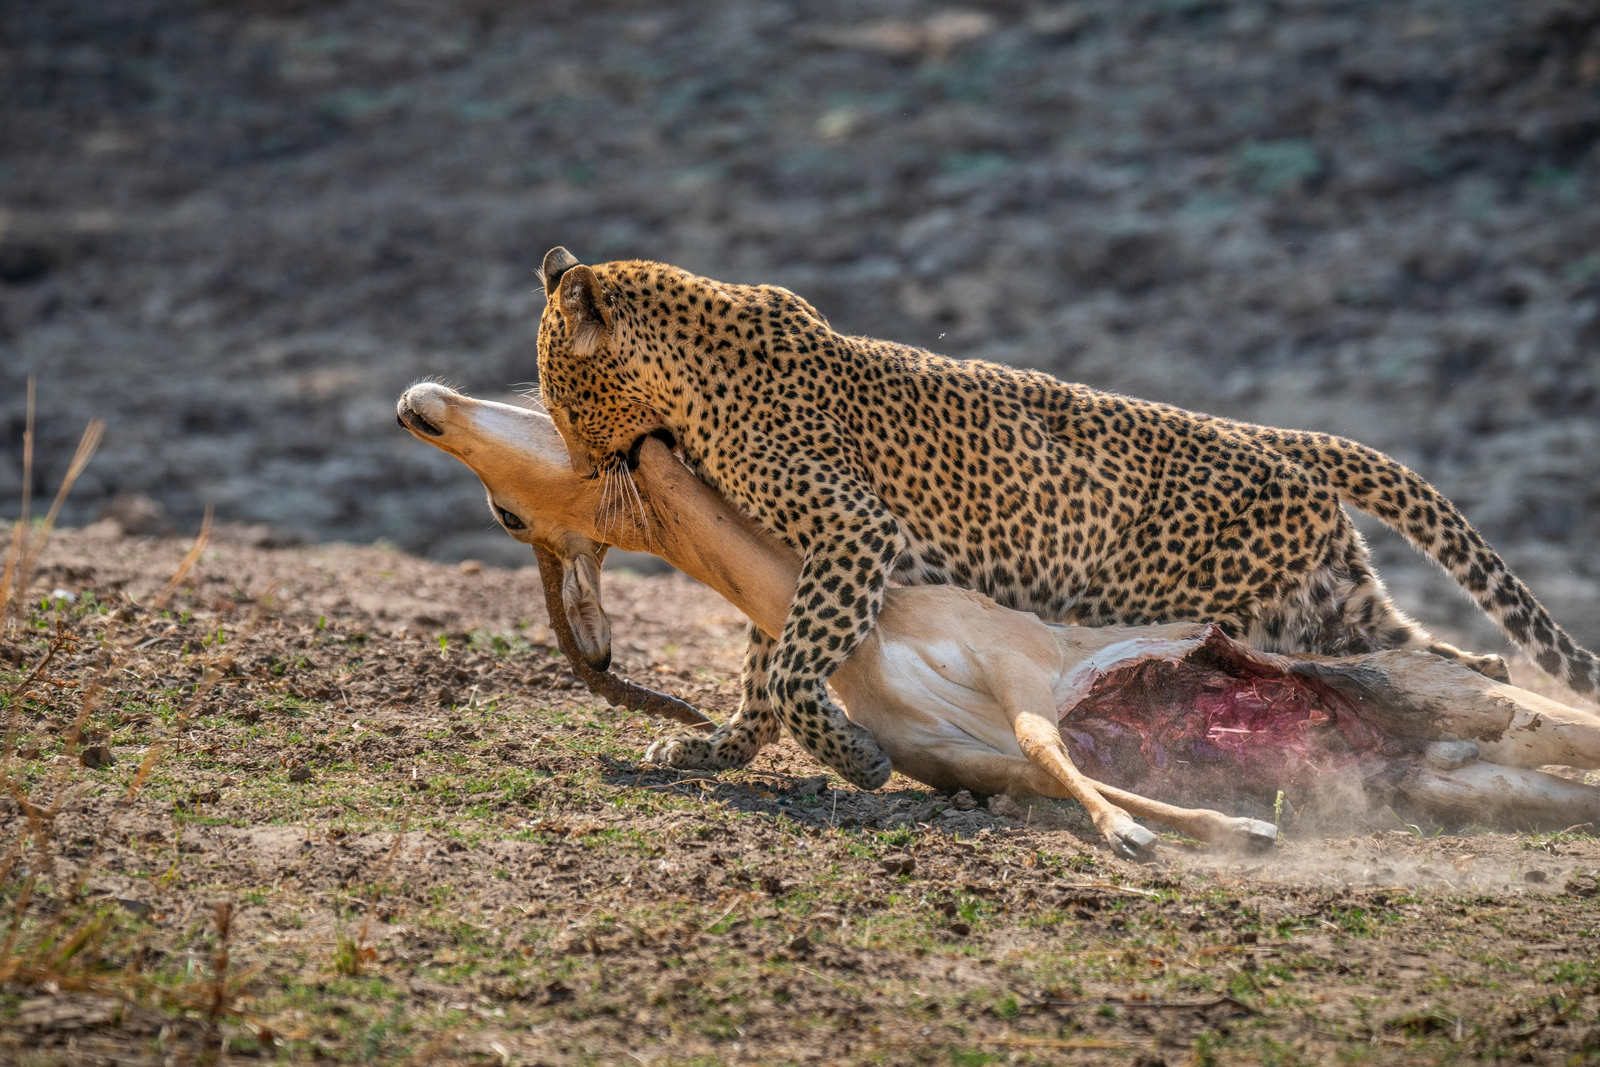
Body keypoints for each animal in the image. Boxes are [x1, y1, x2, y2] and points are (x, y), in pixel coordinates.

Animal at [533, 246, 1600, 791]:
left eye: (558, 395)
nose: (579, 467)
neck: (689, 369)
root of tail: (1285, 440)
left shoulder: (853, 533)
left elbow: (794, 669)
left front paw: (855, 757)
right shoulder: (800, 551)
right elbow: (766, 671)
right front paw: (712, 748)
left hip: (1224, 606)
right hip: (1320, 604)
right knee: (1450, 659)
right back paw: (1463, 719)